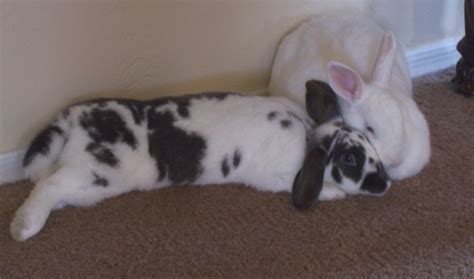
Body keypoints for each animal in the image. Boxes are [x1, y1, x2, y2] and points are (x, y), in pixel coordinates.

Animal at [11, 91, 390, 242]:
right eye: (349, 158)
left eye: (370, 145)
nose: (386, 183)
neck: (308, 135)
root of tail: (72, 119)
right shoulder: (278, 178)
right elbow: (315, 187)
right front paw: (335, 193)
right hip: (96, 174)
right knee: (47, 186)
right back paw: (22, 228)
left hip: (84, 181)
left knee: (47, 183)